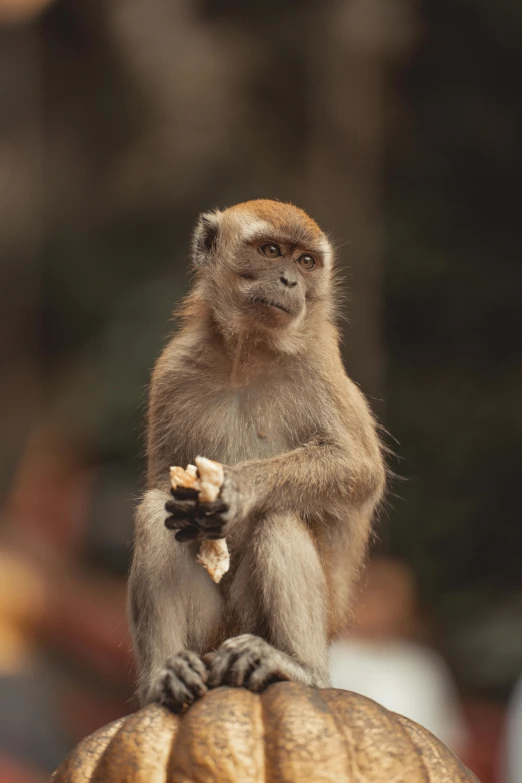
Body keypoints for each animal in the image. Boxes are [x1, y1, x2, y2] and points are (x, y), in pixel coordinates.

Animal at [127, 199, 384, 712]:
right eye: (271, 251)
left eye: (306, 262)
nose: (288, 281)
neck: (246, 356)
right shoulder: (172, 369)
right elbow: (162, 485)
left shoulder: (318, 365)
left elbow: (360, 470)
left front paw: (240, 487)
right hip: (210, 634)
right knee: (153, 513)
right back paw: (164, 675)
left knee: (281, 514)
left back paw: (296, 665)